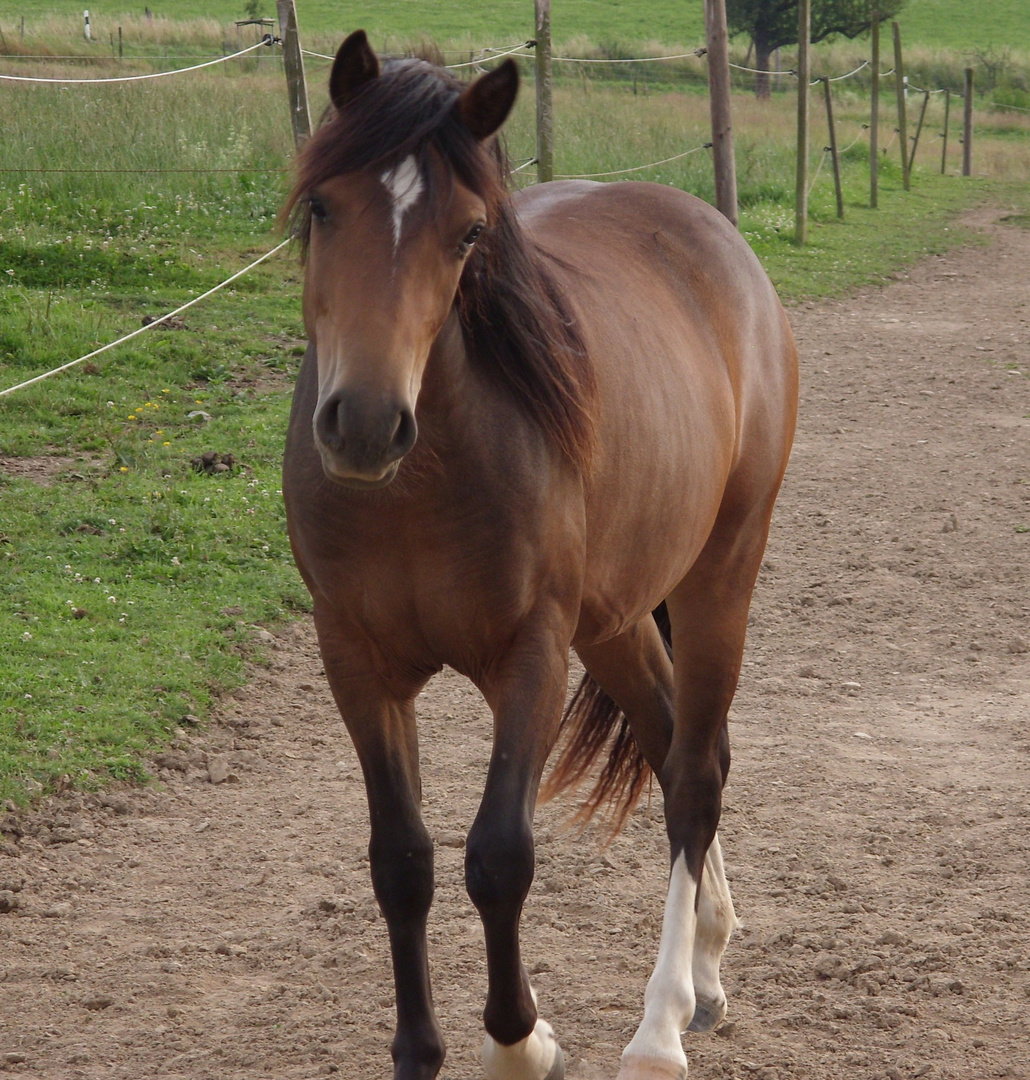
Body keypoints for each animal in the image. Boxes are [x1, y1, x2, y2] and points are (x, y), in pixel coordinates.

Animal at [278, 31, 794, 1080]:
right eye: (322, 206)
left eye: (470, 233)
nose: (364, 424)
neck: (419, 485)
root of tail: (716, 239)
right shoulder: (354, 659)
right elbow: (402, 859)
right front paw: (418, 1052)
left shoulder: (531, 655)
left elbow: (498, 855)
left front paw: (522, 1043)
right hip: (619, 618)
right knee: (671, 740)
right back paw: (708, 964)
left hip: (721, 573)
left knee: (696, 774)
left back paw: (662, 1023)